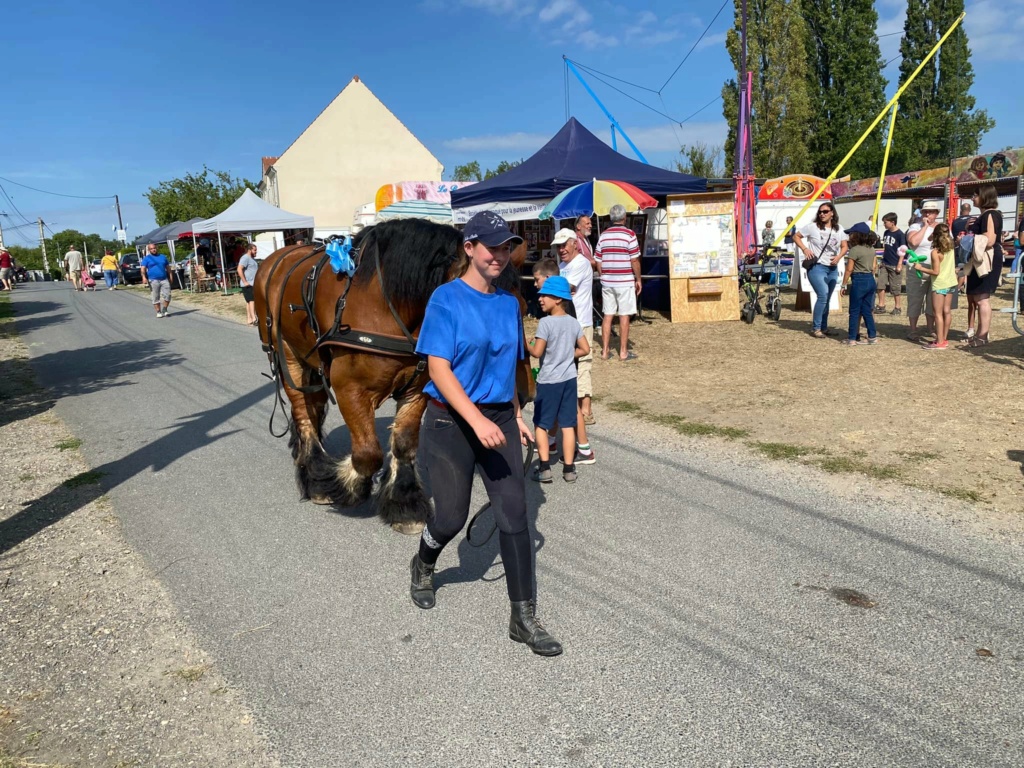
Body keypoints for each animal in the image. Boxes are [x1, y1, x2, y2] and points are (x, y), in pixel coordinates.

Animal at [254, 219, 532, 536]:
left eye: (522, 310)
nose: (524, 393)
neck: (385, 305)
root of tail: (276, 259)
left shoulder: (418, 389)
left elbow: (404, 444)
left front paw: (404, 504)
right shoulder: (349, 389)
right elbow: (367, 454)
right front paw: (342, 483)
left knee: (313, 407)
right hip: (288, 357)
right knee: (303, 413)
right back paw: (316, 478)